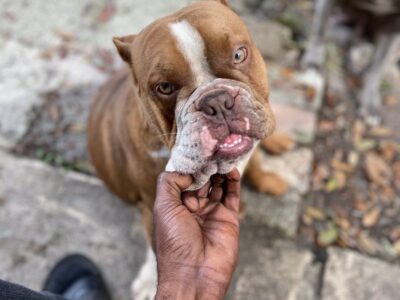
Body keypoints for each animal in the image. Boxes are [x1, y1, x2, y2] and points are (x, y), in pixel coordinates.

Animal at [87, 1, 290, 298]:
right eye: (164, 88)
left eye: (239, 54)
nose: (216, 100)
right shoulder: (153, 209)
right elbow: (155, 250)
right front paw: (149, 281)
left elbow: (256, 162)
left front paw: (267, 178)